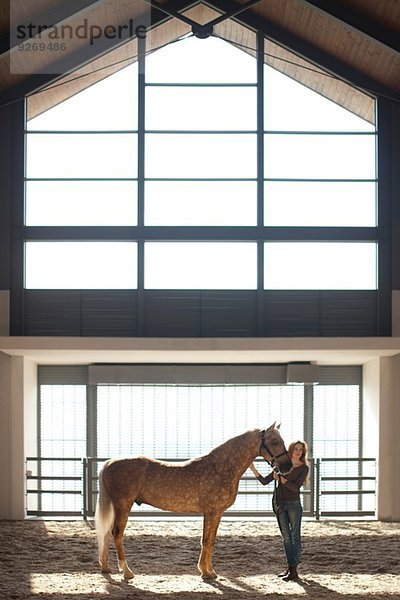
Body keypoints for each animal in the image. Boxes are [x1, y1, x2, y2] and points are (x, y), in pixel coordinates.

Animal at [95, 424, 292, 580]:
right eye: (275, 442)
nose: (288, 467)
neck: (221, 467)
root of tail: (109, 463)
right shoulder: (211, 512)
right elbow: (206, 540)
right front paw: (206, 573)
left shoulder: (217, 513)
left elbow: (210, 541)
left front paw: (209, 571)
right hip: (123, 506)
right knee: (117, 534)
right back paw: (127, 571)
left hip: (116, 507)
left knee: (106, 533)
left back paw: (106, 568)